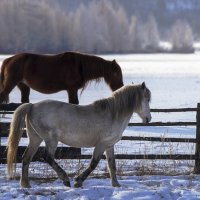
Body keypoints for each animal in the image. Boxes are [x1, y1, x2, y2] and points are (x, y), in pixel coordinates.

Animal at [7, 82, 152, 188]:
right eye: (147, 99)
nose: (148, 119)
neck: (113, 115)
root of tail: (32, 106)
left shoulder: (109, 145)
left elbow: (112, 164)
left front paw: (116, 185)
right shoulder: (101, 144)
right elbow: (94, 163)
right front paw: (78, 181)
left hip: (35, 139)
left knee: (26, 158)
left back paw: (26, 184)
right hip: (51, 140)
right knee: (47, 157)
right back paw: (65, 179)